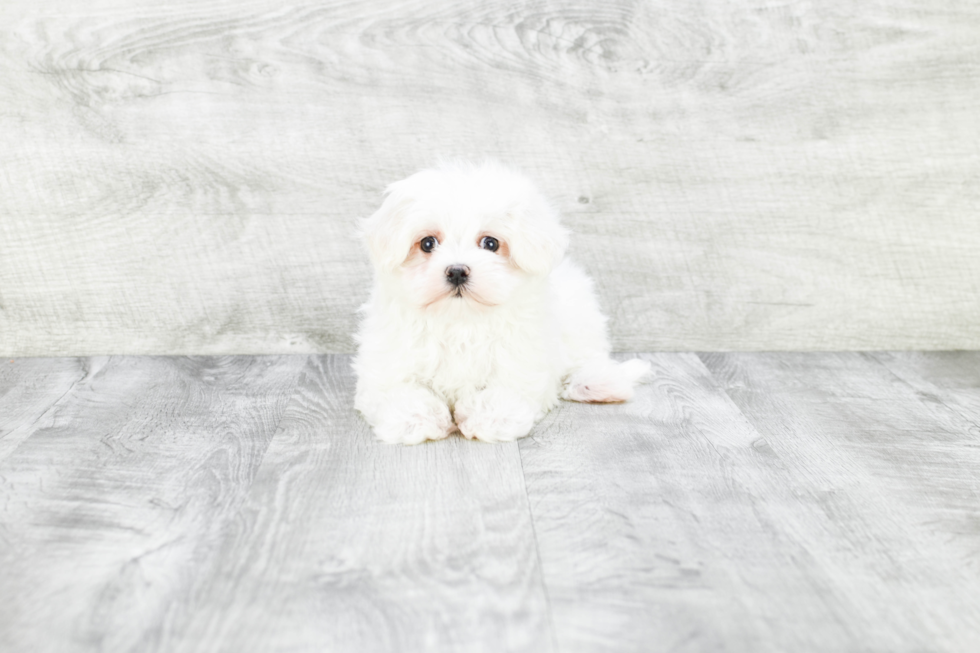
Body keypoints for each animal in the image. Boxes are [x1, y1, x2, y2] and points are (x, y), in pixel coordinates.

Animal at [354, 160, 652, 444]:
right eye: (427, 243)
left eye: (490, 243)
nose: (457, 271)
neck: (461, 321)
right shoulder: (388, 362)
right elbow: (399, 391)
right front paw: (415, 419)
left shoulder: (522, 359)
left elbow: (506, 389)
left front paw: (490, 417)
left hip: (580, 314)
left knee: (586, 356)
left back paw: (599, 383)